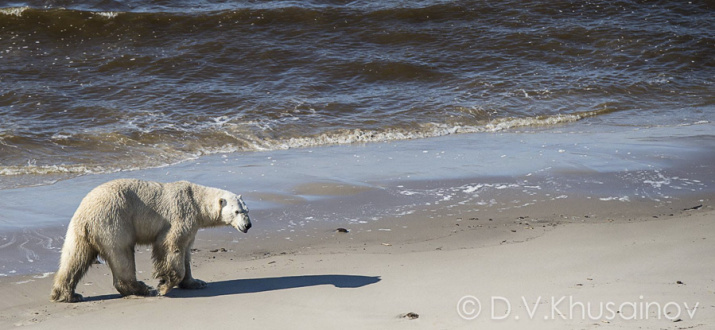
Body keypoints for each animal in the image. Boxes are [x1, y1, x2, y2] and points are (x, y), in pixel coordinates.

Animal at [49, 179, 252, 302]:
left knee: (74, 257)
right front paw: (164, 285)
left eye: (247, 210)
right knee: (122, 254)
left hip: (79, 231)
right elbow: (170, 246)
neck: (195, 201)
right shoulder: (180, 216)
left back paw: (67, 294)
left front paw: (196, 282)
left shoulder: (192, 225)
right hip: (114, 221)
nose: (248, 225)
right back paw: (141, 288)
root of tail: (86, 213)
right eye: (237, 211)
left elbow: (186, 251)